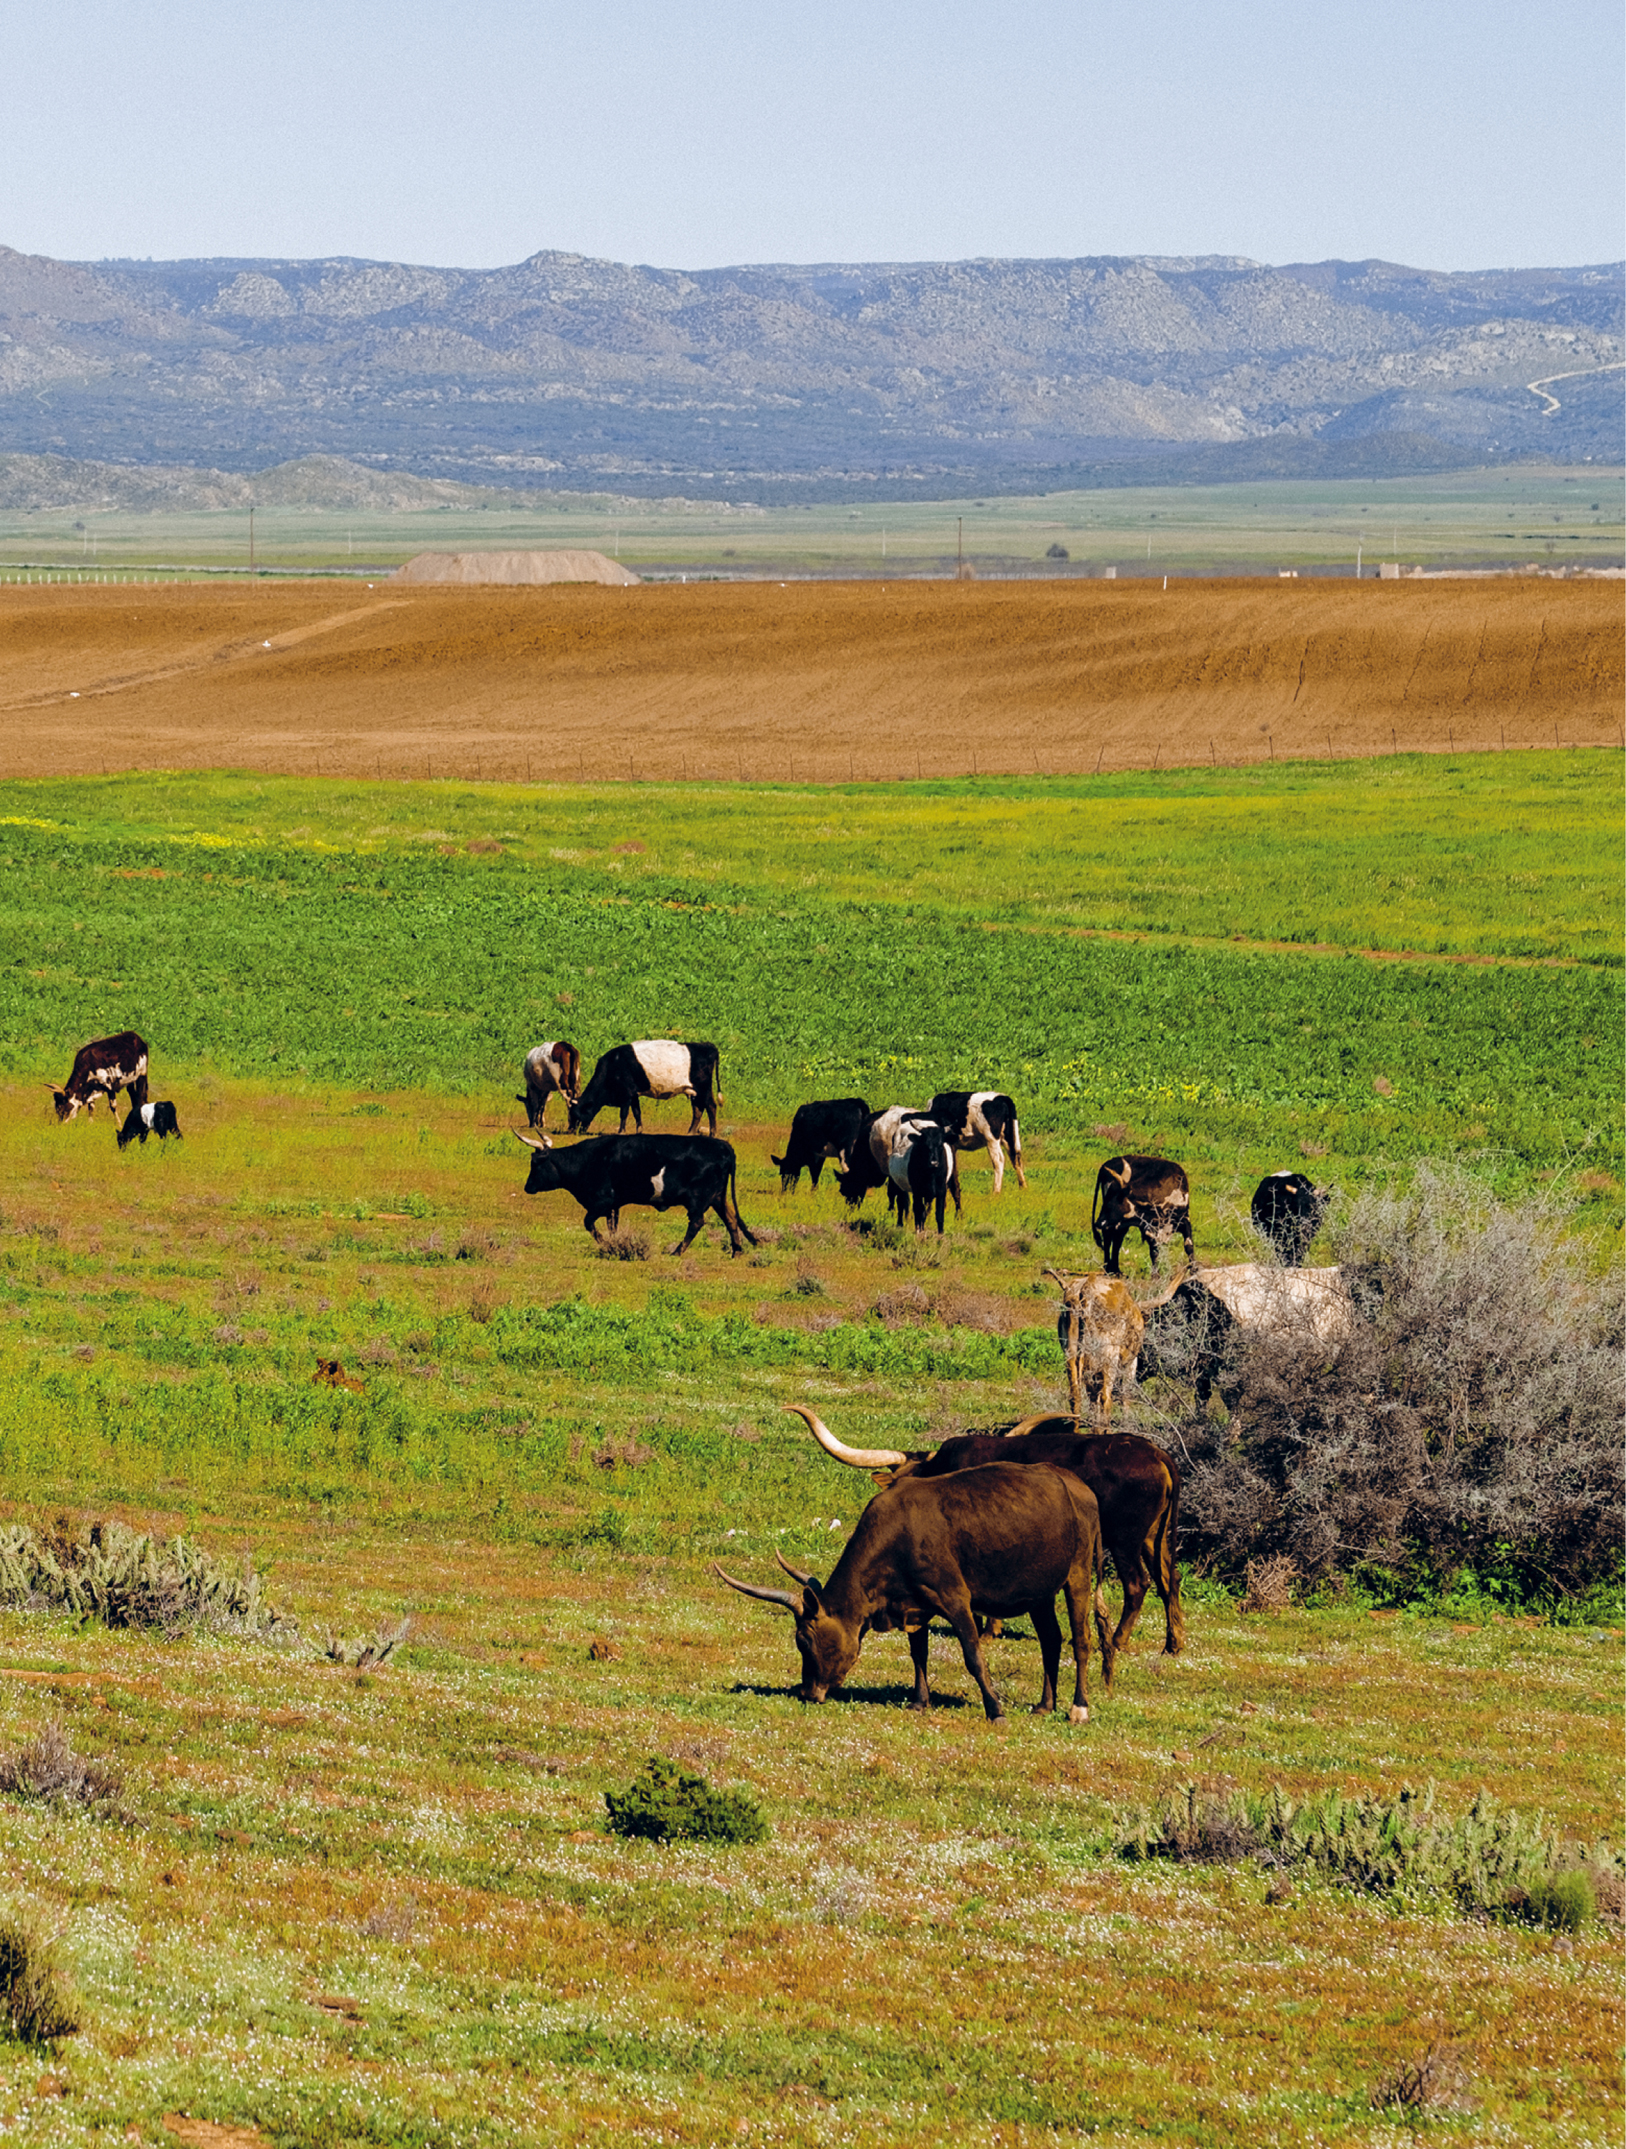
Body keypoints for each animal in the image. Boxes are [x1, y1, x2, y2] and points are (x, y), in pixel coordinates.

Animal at [513, 1126, 756, 1255]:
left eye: (535, 1163)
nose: (527, 1187)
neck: (588, 1160)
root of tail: (722, 1145)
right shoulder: (613, 1206)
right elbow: (612, 1226)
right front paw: (613, 1244)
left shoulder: (601, 1202)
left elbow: (589, 1223)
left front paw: (604, 1244)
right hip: (718, 1197)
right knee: (730, 1219)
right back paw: (736, 1251)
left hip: (698, 1200)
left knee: (697, 1223)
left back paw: (678, 1251)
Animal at [571, 1040, 721, 1143]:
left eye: (575, 1115)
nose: (571, 1130)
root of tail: (707, 1046)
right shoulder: (633, 1094)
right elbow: (637, 1112)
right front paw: (639, 1131)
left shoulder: (626, 1094)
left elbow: (624, 1114)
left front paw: (621, 1131)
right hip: (694, 1092)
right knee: (698, 1110)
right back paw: (690, 1133)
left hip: (703, 1088)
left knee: (711, 1106)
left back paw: (712, 1133)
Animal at [717, 1452, 1108, 1719]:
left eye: (804, 1640)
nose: (808, 1692)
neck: (899, 1532)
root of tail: (1078, 1486)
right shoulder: (914, 1605)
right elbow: (919, 1653)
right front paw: (920, 1701)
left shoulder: (955, 1598)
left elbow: (973, 1655)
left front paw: (995, 1708)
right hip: (1039, 1590)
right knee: (1051, 1640)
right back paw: (1045, 1705)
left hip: (1077, 1573)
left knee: (1081, 1640)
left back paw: (1078, 1708)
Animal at [794, 1401, 1185, 1650]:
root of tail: (1158, 1455)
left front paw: (986, 1630)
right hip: (1154, 1536)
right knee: (1170, 1579)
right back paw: (1174, 1643)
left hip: (1124, 1539)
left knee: (1139, 1583)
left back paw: (1119, 1640)